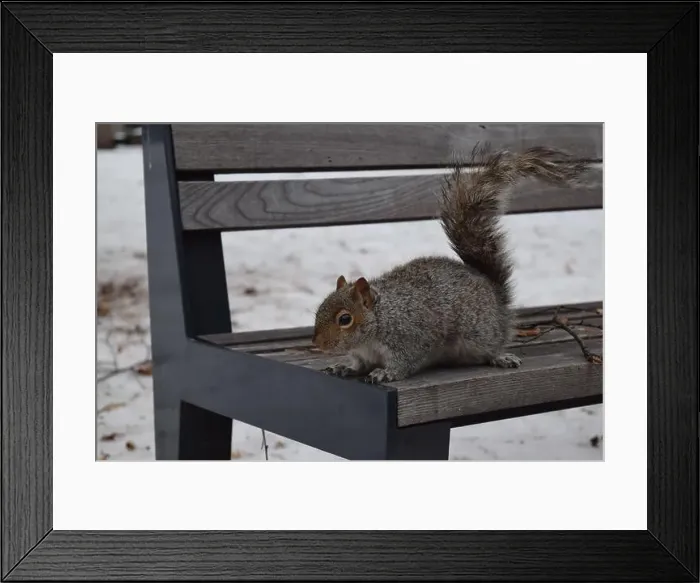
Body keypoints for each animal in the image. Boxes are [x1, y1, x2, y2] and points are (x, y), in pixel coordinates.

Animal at [311, 145, 588, 384]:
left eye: (345, 319)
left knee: (494, 345)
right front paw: (344, 367)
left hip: (480, 334)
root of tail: (496, 295)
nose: (318, 344)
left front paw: (385, 373)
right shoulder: (363, 354)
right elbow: (357, 364)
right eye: (319, 310)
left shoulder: (410, 339)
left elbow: (404, 363)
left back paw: (501, 356)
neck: (380, 320)